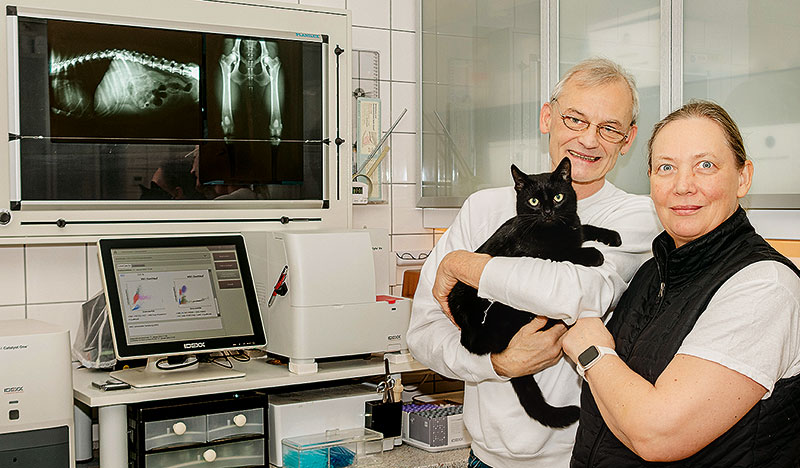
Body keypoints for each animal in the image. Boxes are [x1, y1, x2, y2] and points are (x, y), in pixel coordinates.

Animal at [446, 157, 620, 428]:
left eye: (558, 197)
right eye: (534, 202)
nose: (547, 212)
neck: (555, 230)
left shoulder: (573, 224)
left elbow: (584, 226)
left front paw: (611, 235)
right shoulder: (535, 255)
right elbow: (564, 253)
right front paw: (593, 254)